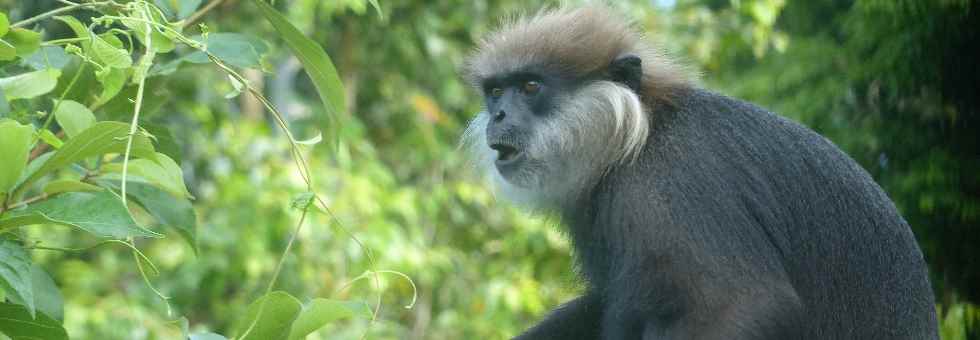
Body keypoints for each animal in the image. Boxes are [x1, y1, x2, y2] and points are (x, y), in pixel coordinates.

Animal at [460, 5, 940, 340]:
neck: (639, 135)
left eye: (530, 87)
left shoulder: (667, 188)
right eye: (496, 92)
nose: (498, 116)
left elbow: (743, 305)